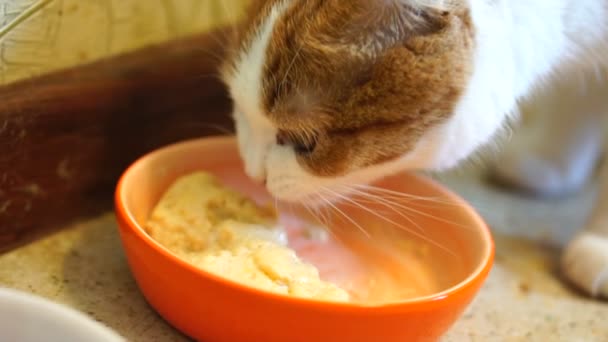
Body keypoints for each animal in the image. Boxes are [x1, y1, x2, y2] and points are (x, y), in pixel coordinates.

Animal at [218, 0, 608, 296]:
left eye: (305, 142)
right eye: (236, 105)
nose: (253, 174)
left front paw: (599, 246)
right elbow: (579, 102)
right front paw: (553, 163)